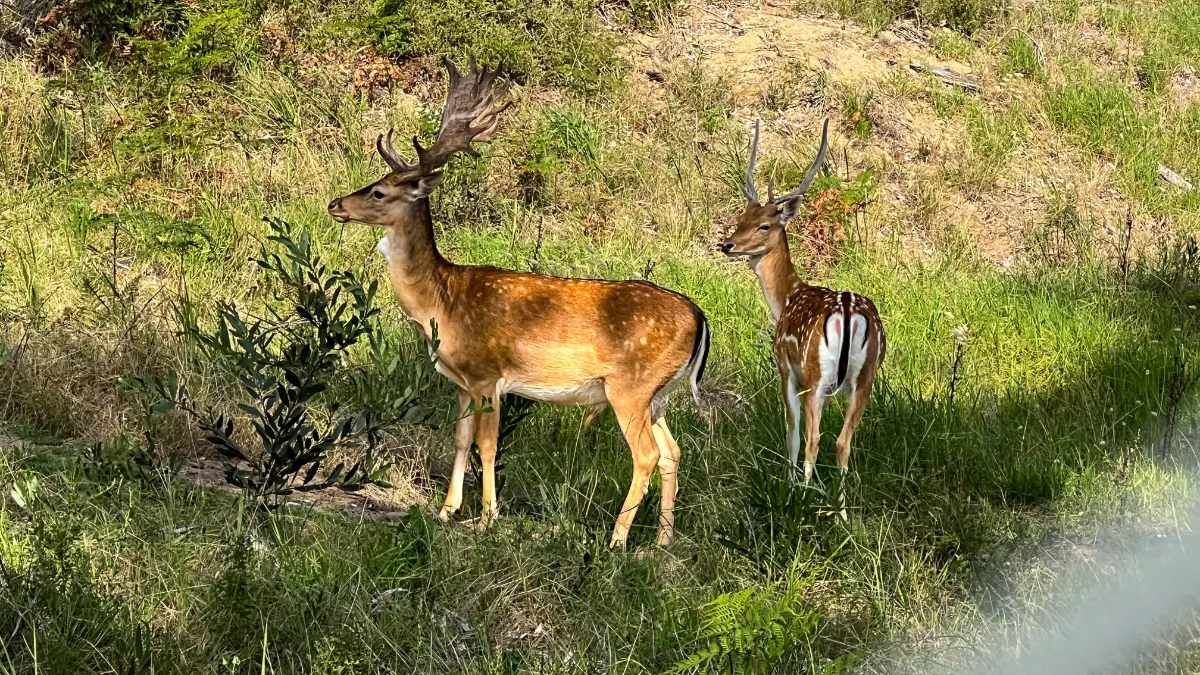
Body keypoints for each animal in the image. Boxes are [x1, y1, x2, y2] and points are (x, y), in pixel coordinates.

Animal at [327, 59, 710, 549]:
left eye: (380, 191)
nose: (336, 203)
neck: (441, 303)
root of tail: (699, 317)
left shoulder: (489, 374)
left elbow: (488, 445)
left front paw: (487, 517)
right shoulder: (461, 382)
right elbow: (459, 439)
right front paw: (446, 510)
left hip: (631, 386)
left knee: (644, 454)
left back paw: (617, 540)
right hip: (657, 395)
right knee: (671, 451)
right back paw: (660, 541)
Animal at [718, 120, 885, 484]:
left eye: (765, 225)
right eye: (741, 219)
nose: (727, 244)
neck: (787, 298)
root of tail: (848, 313)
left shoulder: (784, 366)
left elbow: (792, 433)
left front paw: (789, 480)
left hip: (814, 373)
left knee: (813, 438)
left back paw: (804, 492)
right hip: (865, 377)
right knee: (843, 441)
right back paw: (839, 500)